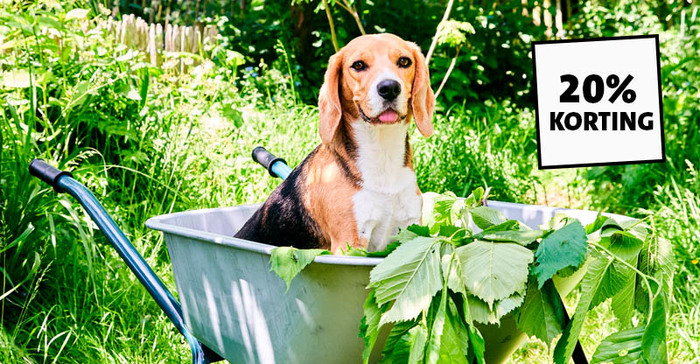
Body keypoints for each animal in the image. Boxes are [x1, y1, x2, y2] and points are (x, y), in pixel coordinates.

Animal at [235, 34, 432, 256]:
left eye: (404, 61)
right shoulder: (349, 243)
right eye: (358, 65)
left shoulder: (409, 229)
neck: (382, 152)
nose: (389, 87)